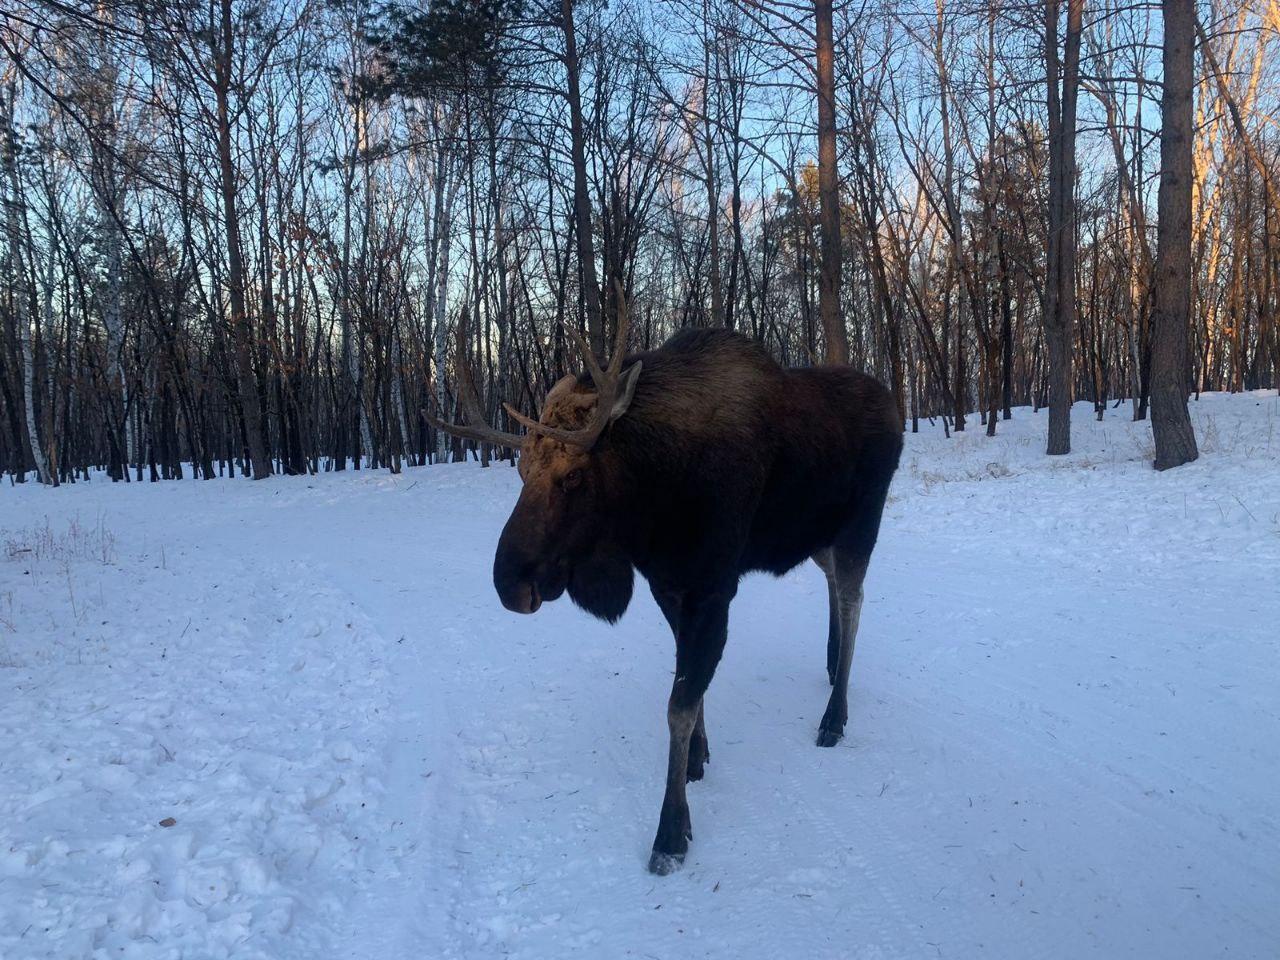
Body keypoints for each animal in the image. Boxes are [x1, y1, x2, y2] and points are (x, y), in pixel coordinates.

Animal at [427, 296, 901, 875]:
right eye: (520, 470)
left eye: (573, 475)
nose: (508, 584)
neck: (653, 502)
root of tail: (895, 406)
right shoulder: (667, 586)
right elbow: (689, 686)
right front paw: (698, 757)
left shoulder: (712, 587)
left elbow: (678, 704)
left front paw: (671, 830)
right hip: (816, 534)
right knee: (835, 584)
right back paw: (831, 665)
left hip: (862, 522)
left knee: (855, 599)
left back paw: (835, 716)